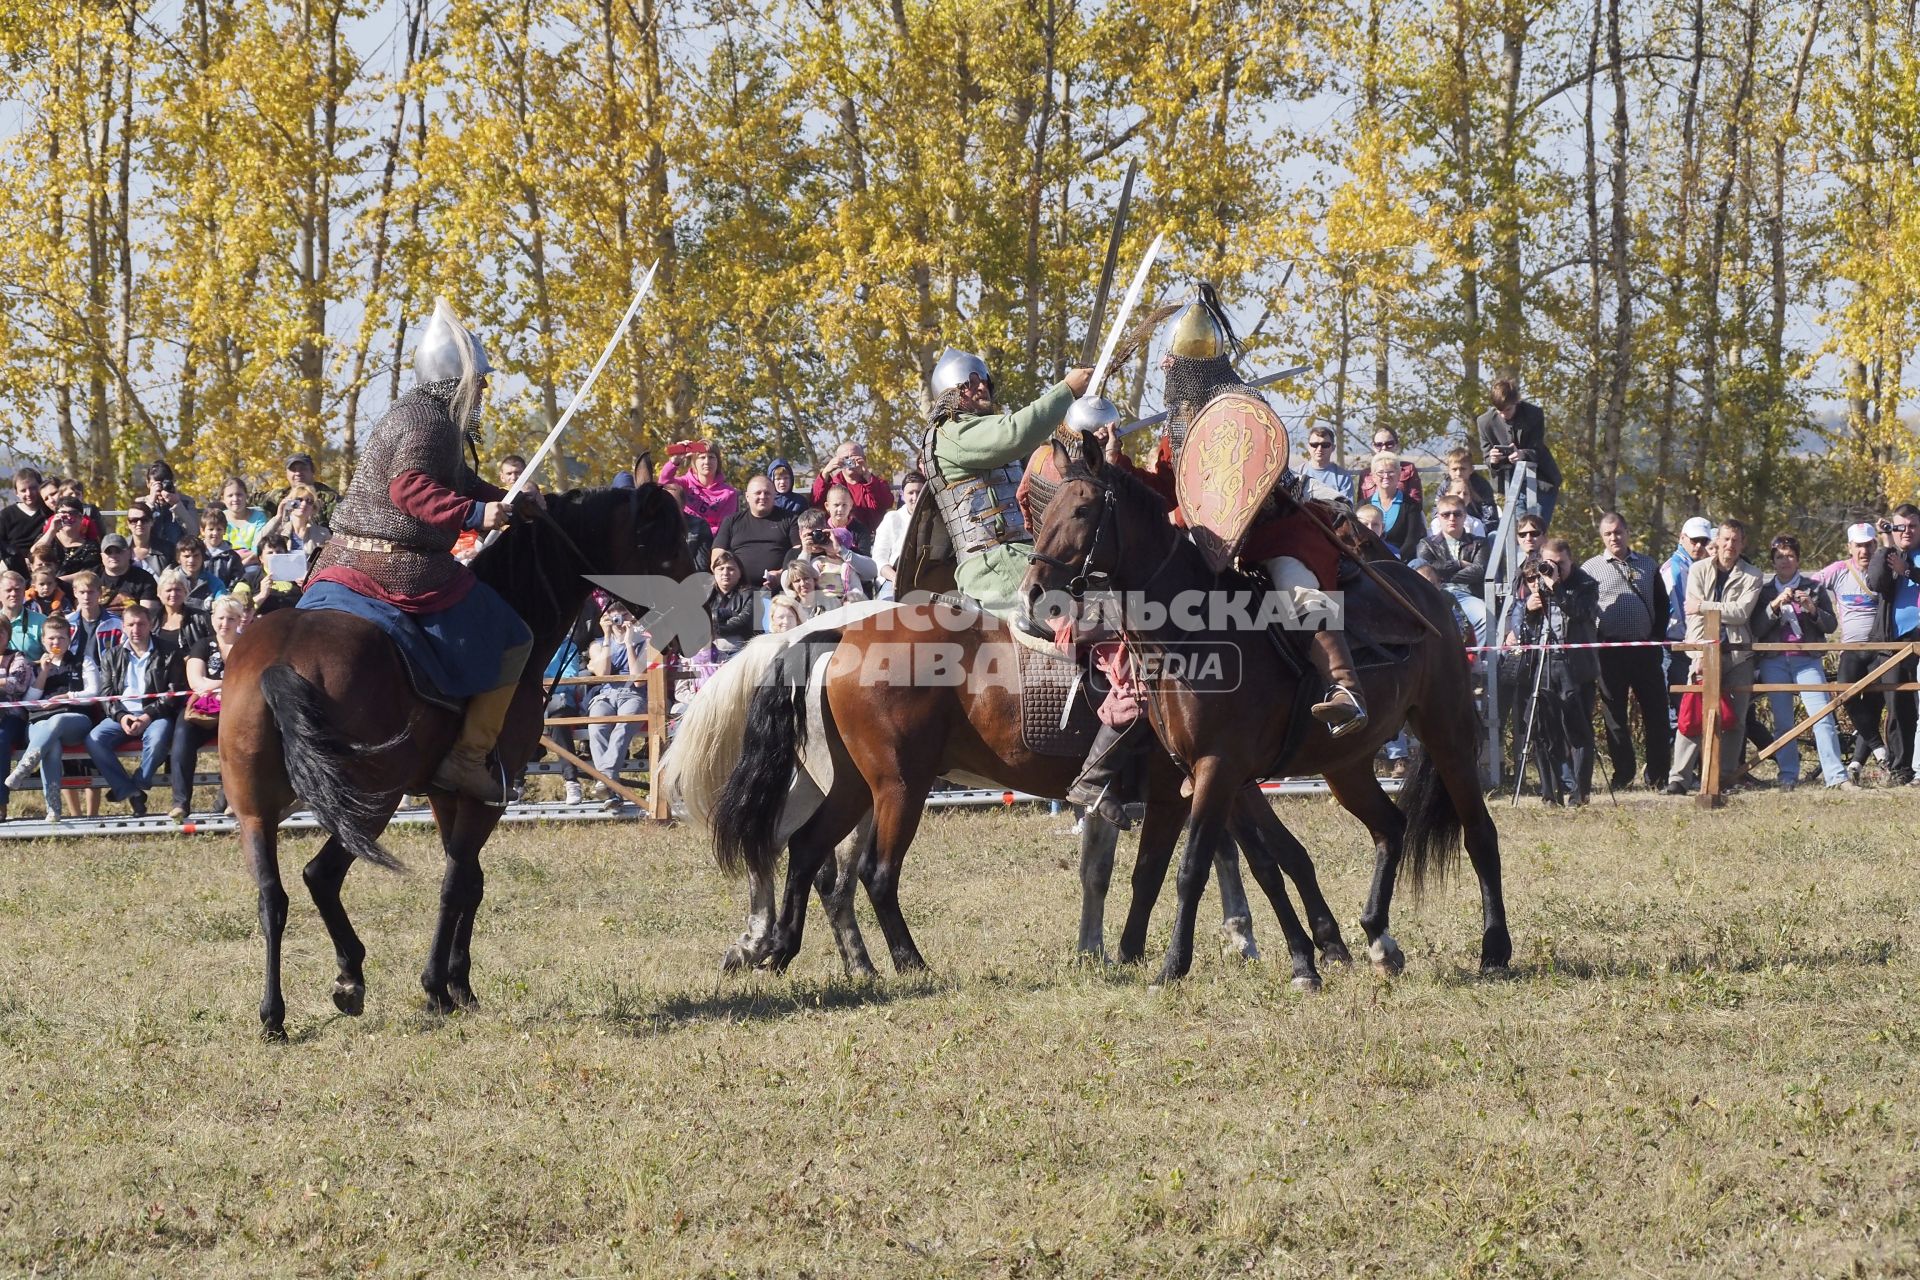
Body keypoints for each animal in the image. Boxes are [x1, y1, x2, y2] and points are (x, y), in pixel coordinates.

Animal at [220, 487, 695, 1043]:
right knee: (321, 875)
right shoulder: (483, 795)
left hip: (256, 809)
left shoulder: (446, 795)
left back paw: (277, 1012)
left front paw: (458, 984)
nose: (694, 615)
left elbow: (471, 880)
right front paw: (438, 988)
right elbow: (458, 882)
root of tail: (281, 662)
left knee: (272, 897)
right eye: (666, 543)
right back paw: (349, 978)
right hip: (373, 798)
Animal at [668, 602, 1359, 990]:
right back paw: (902, 962)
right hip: (898, 789)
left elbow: (1262, 855)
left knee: (807, 854)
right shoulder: (1186, 792)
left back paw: (787, 949)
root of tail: (839, 634)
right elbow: (1163, 870)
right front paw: (1146, 951)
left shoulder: (1219, 780)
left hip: (851, 786)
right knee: (868, 872)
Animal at [1021, 435, 1512, 990]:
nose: (1034, 593)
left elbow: (1193, 867)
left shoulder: (1218, 769)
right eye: (1045, 512)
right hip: (1346, 763)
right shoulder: (1220, 777)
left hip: (1447, 729)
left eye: (1082, 510)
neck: (1194, 634)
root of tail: (1426, 590)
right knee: (1389, 826)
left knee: (1479, 833)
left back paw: (1494, 949)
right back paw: (1379, 938)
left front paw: (1172, 965)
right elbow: (1269, 864)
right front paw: (1306, 961)